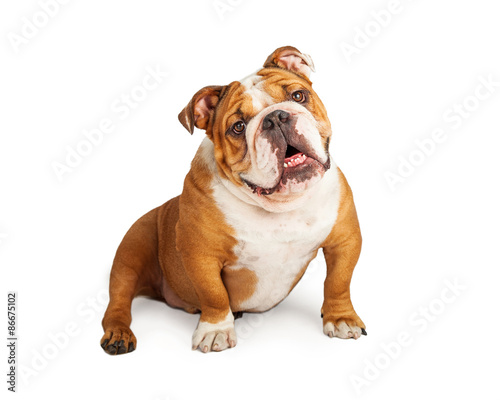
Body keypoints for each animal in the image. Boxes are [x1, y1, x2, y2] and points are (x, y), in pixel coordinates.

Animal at [99, 45, 366, 354]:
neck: (279, 206)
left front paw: (341, 318)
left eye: (298, 96)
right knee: (118, 301)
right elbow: (213, 294)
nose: (276, 117)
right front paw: (216, 330)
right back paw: (118, 334)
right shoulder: (201, 255)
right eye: (238, 127)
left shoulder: (344, 240)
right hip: (130, 254)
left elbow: (338, 282)